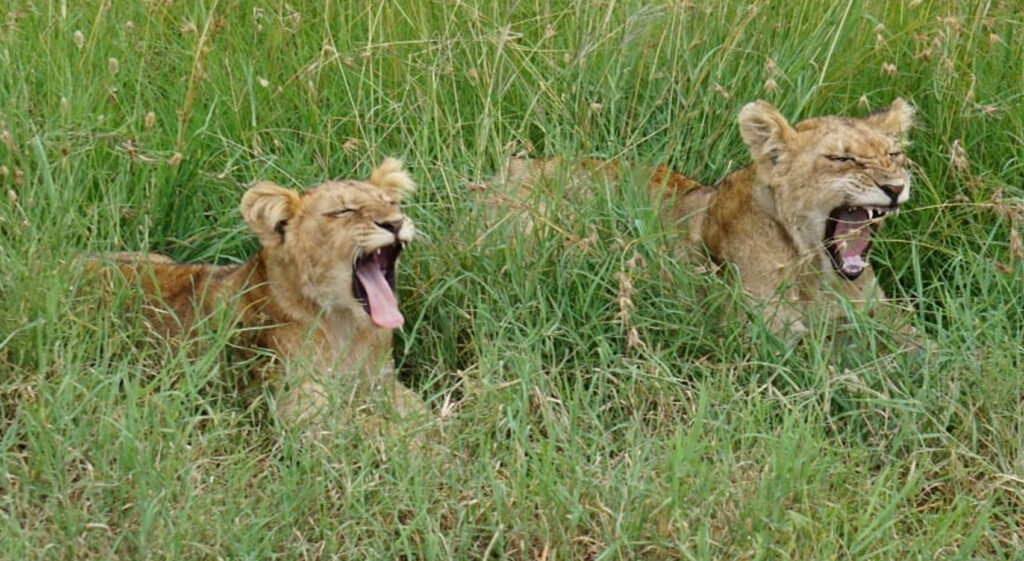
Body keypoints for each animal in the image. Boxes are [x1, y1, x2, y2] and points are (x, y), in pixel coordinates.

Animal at [93, 158, 427, 428]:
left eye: (391, 203)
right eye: (344, 211)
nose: (395, 223)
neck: (347, 327)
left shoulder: (384, 384)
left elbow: (422, 415)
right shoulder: (300, 408)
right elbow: (379, 431)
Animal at [498, 99, 915, 334]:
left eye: (893, 155)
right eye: (842, 158)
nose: (895, 187)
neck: (817, 270)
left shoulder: (882, 312)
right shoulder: (773, 336)